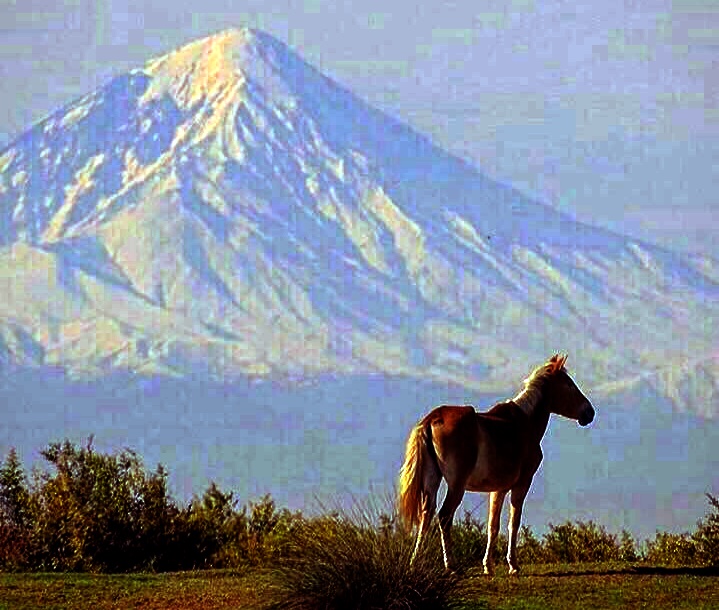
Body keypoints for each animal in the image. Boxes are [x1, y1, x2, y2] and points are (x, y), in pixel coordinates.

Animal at [400, 354, 596, 572]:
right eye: (569, 384)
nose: (589, 412)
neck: (523, 423)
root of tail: (433, 418)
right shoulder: (521, 484)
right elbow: (514, 522)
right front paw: (513, 564)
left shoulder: (498, 489)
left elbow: (493, 526)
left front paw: (488, 565)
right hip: (456, 485)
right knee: (444, 516)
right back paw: (450, 565)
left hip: (431, 481)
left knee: (426, 516)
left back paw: (415, 562)